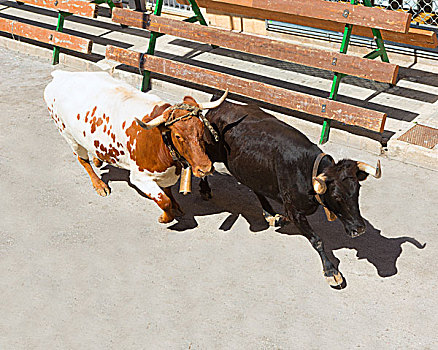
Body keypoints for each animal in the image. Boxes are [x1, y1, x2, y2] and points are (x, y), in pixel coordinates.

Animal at [45, 71, 228, 223]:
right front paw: (165, 217)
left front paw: (176, 205)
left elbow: (168, 191)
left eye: (202, 128)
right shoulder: (140, 177)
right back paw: (99, 185)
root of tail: (61, 75)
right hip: (69, 135)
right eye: (178, 136)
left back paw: (98, 159)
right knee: (83, 160)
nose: (205, 168)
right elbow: (164, 200)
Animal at [200, 98, 382, 288]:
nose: (359, 228)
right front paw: (331, 271)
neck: (306, 171)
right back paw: (205, 189)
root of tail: (220, 106)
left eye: (357, 191)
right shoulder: (295, 212)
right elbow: (317, 240)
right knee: (201, 164)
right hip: (211, 150)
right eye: (336, 196)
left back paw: (270, 214)